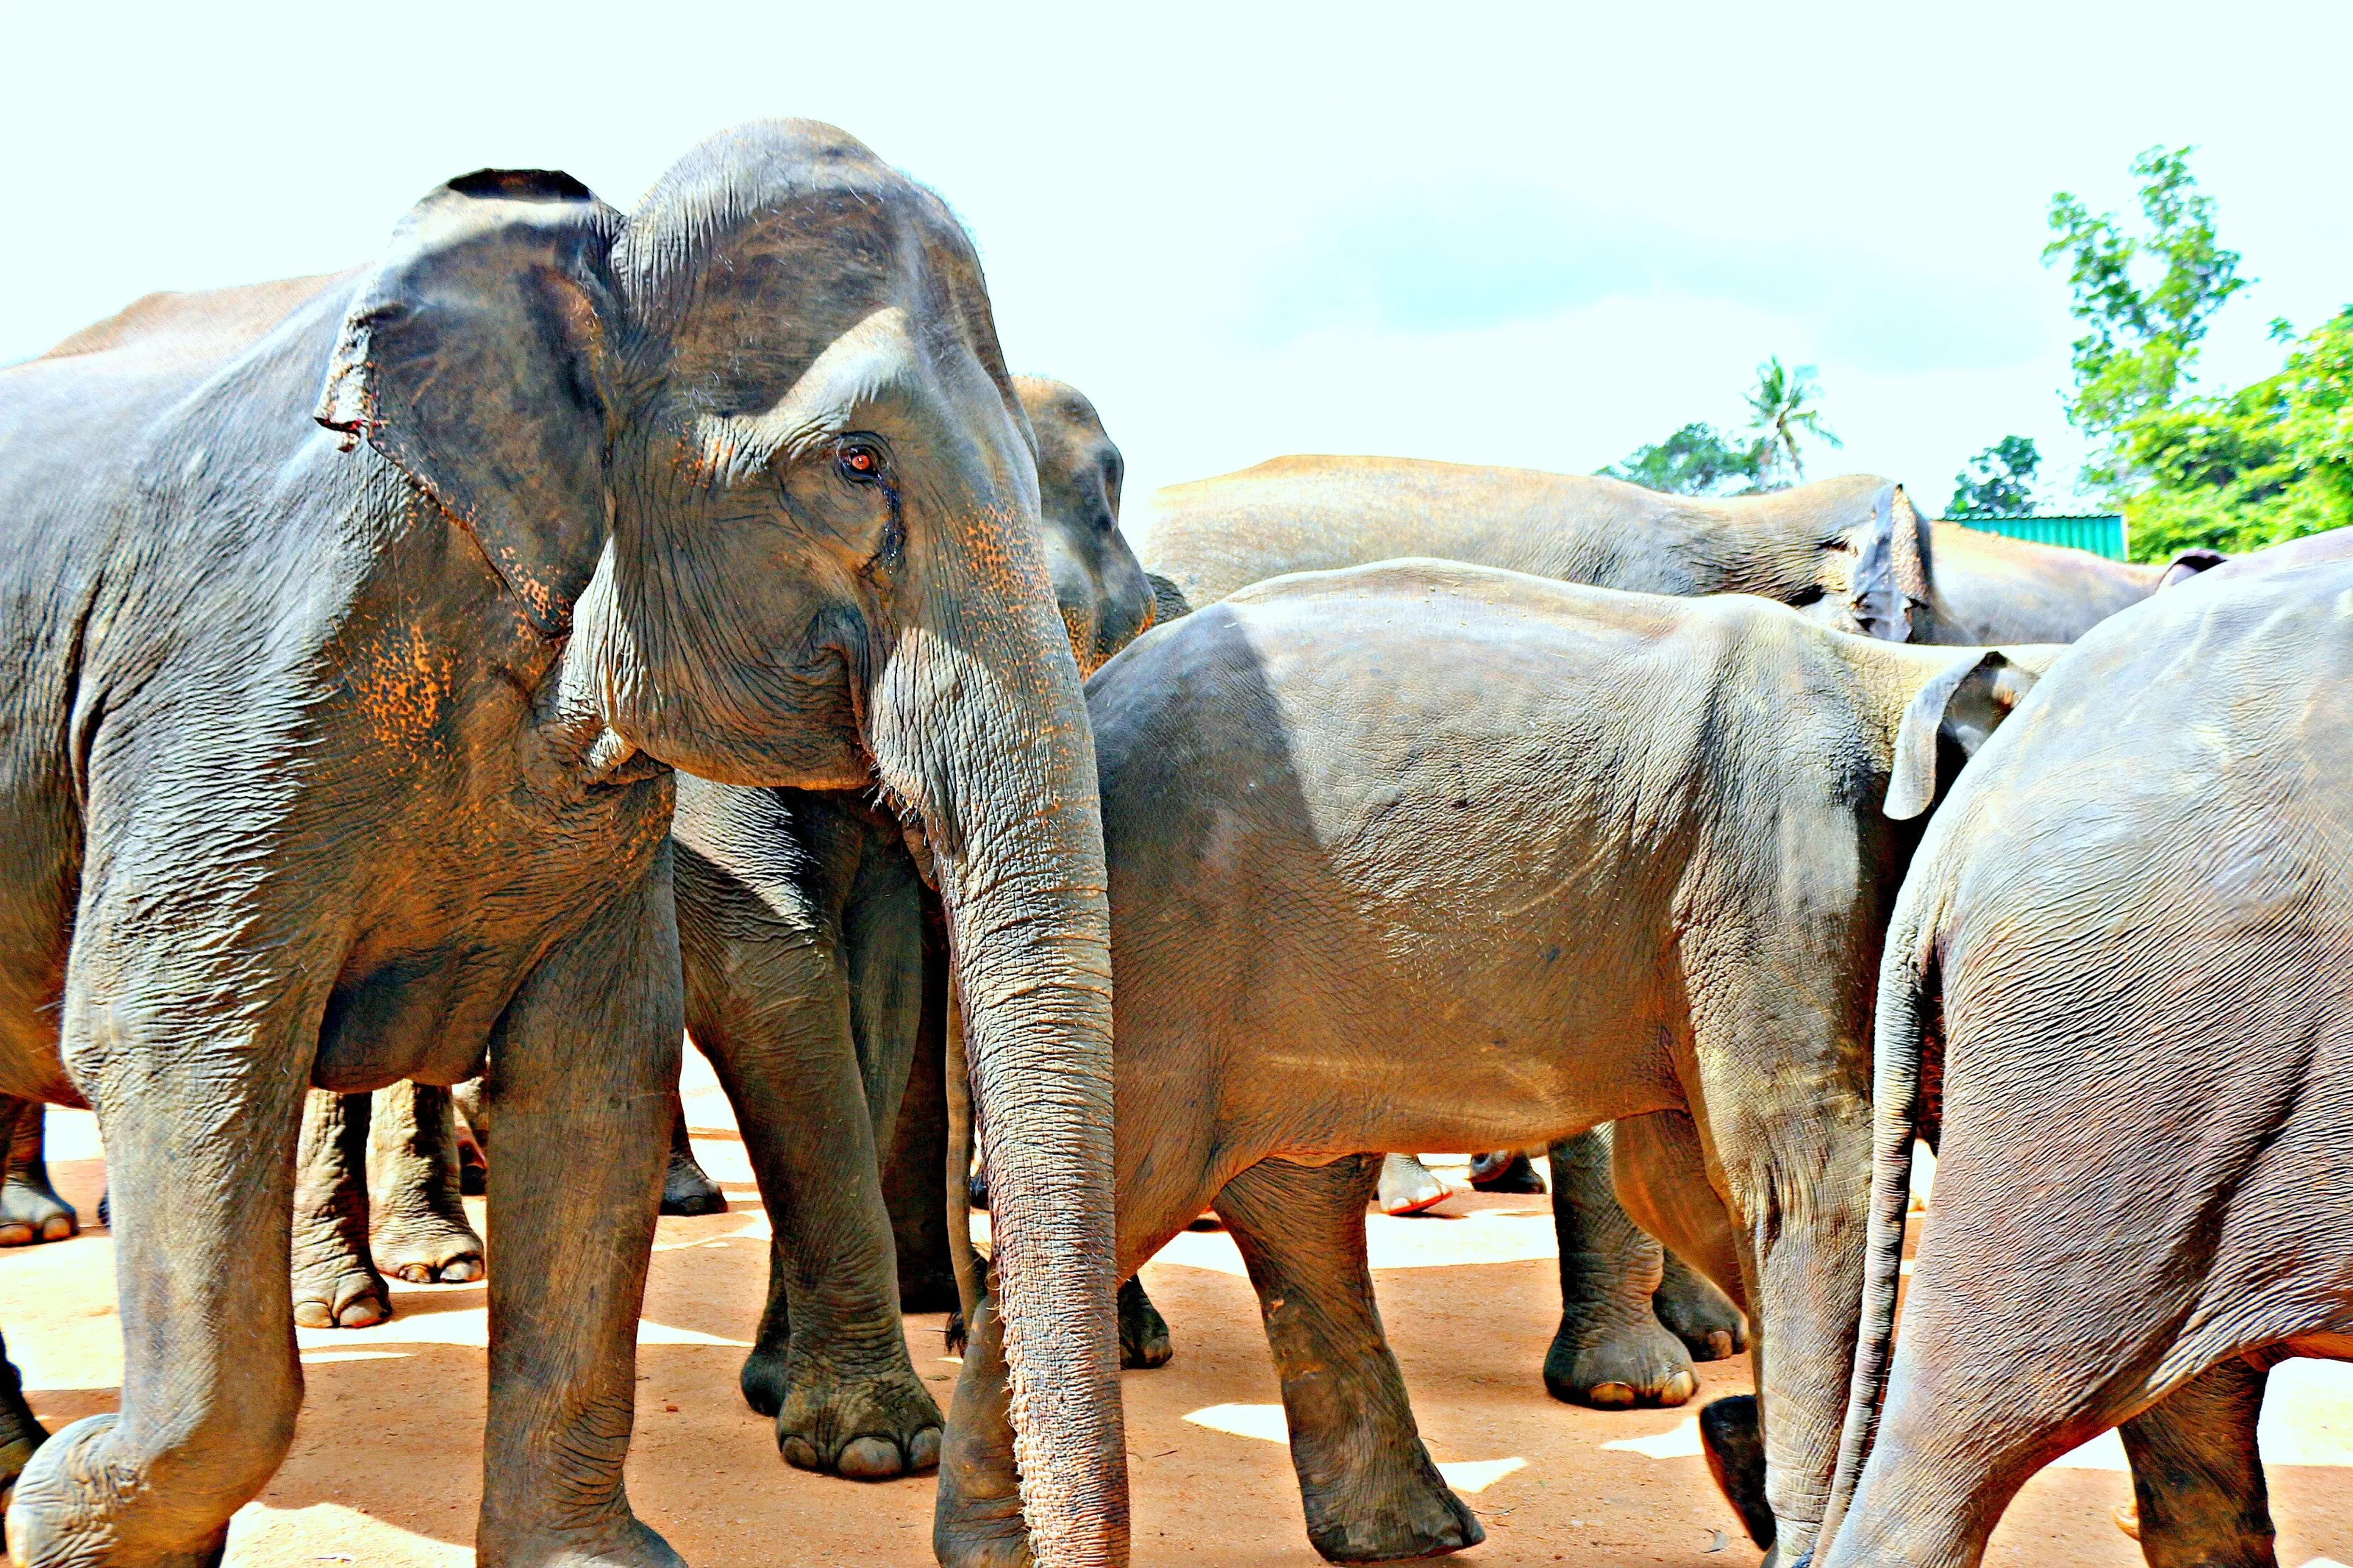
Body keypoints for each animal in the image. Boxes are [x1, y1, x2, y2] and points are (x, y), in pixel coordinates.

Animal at [0, 119, 1125, 1568]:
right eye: (857, 462)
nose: (991, 1536)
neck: (601, 236)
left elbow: (597, 1077)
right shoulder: (227, 673)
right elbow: (172, 1031)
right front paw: (66, 1509)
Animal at [937, 559, 2049, 1567]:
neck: (1895, 677)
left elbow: (1685, 1186)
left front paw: (1743, 1451)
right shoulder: (1779, 864)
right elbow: (1798, 1182)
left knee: (1284, 1196)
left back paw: (1398, 1537)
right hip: (1164, 947)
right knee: (1131, 1182)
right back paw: (1000, 1551)